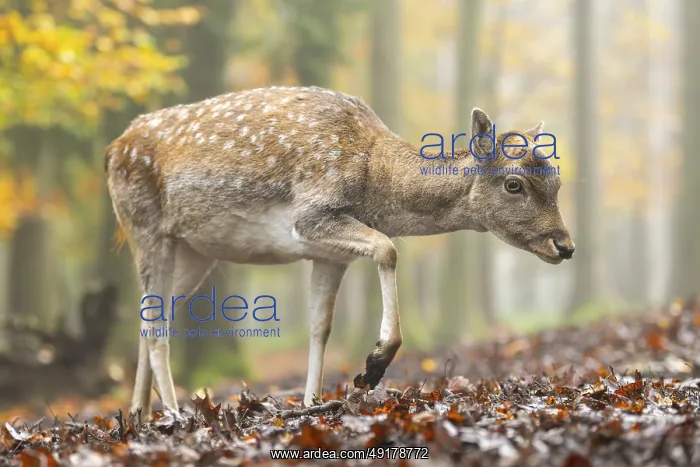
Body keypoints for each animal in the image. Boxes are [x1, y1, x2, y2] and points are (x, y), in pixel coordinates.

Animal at [105, 86, 575, 419]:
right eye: (514, 184)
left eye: (557, 182)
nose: (566, 245)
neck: (374, 178)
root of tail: (112, 150)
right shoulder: (311, 216)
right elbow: (388, 248)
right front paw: (373, 365)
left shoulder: (329, 255)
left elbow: (320, 326)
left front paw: (312, 404)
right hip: (146, 228)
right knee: (155, 324)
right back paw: (171, 413)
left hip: (195, 250)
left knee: (153, 314)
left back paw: (138, 414)